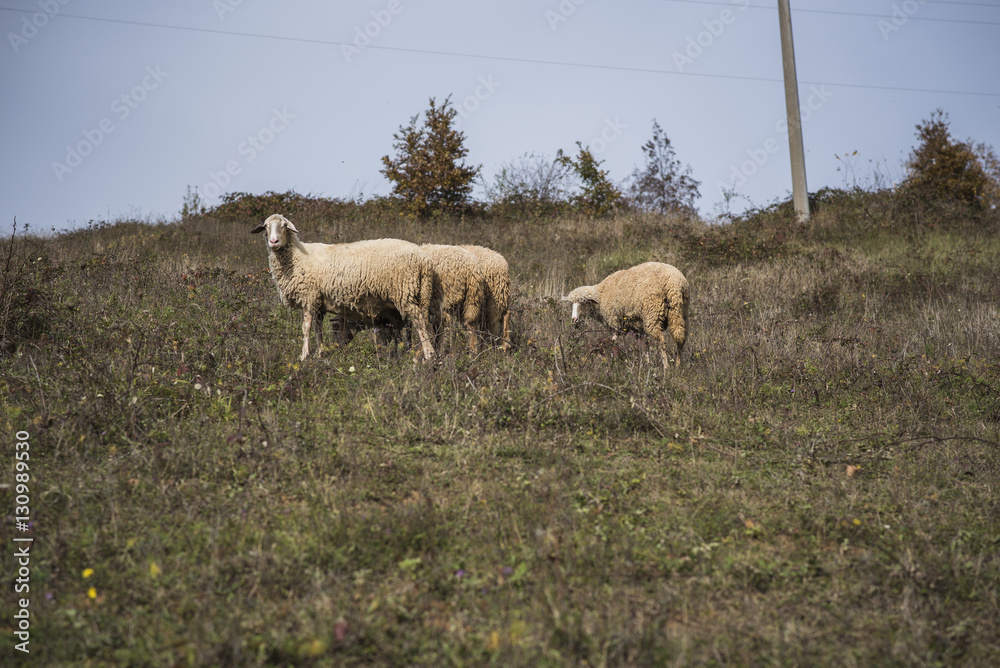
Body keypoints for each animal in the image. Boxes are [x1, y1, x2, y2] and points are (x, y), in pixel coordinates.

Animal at [250, 214, 435, 361]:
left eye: (284, 225)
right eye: (265, 226)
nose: (273, 241)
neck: (297, 257)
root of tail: (424, 259)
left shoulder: (309, 297)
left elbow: (306, 327)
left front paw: (304, 355)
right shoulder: (318, 303)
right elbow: (317, 329)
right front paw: (320, 353)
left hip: (404, 292)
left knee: (418, 321)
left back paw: (429, 354)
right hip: (415, 294)